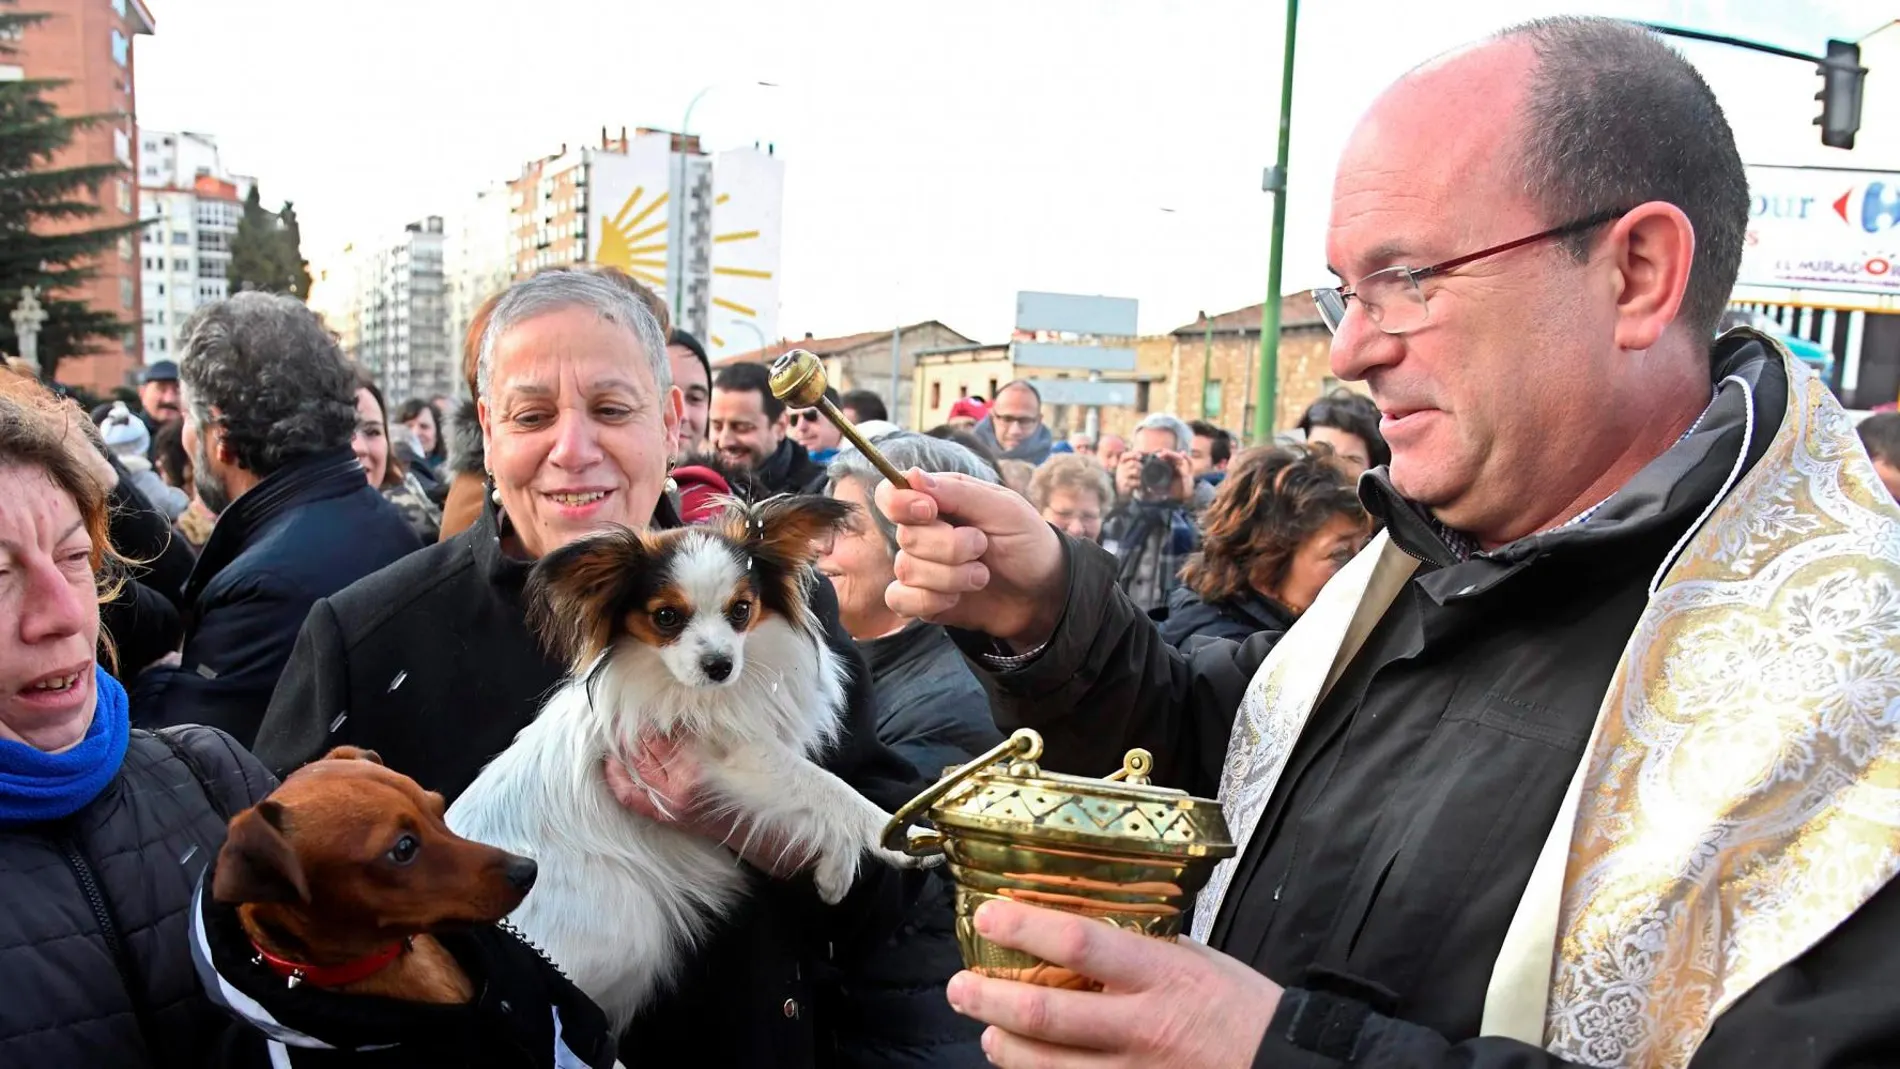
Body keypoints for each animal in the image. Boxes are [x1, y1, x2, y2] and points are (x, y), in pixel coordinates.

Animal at [444, 497, 919, 1032]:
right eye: (666, 617)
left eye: (741, 611)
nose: (719, 666)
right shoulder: (728, 757)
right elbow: (828, 790)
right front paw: (899, 835)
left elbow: (813, 804)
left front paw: (834, 875)